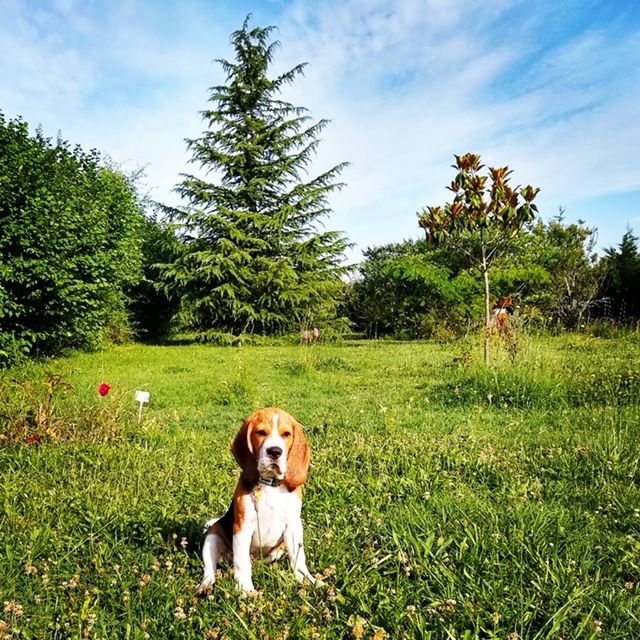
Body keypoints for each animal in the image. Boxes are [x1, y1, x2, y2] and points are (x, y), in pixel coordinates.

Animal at [199, 408, 318, 592]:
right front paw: (246, 590)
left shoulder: (293, 525)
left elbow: (299, 559)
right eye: (261, 432)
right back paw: (205, 585)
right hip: (212, 537)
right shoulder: (242, 527)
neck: (271, 486)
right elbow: (242, 563)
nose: (275, 451)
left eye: (286, 434)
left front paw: (308, 580)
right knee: (210, 569)